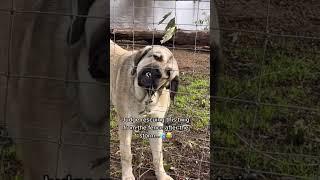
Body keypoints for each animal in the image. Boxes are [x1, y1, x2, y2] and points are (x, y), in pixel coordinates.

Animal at [110, 39, 180, 180]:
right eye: (156, 57)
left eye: (168, 73)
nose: (157, 72)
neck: (144, 97)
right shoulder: (125, 123)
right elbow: (126, 153)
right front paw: (127, 175)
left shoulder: (156, 124)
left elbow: (158, 154)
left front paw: (161, 174)